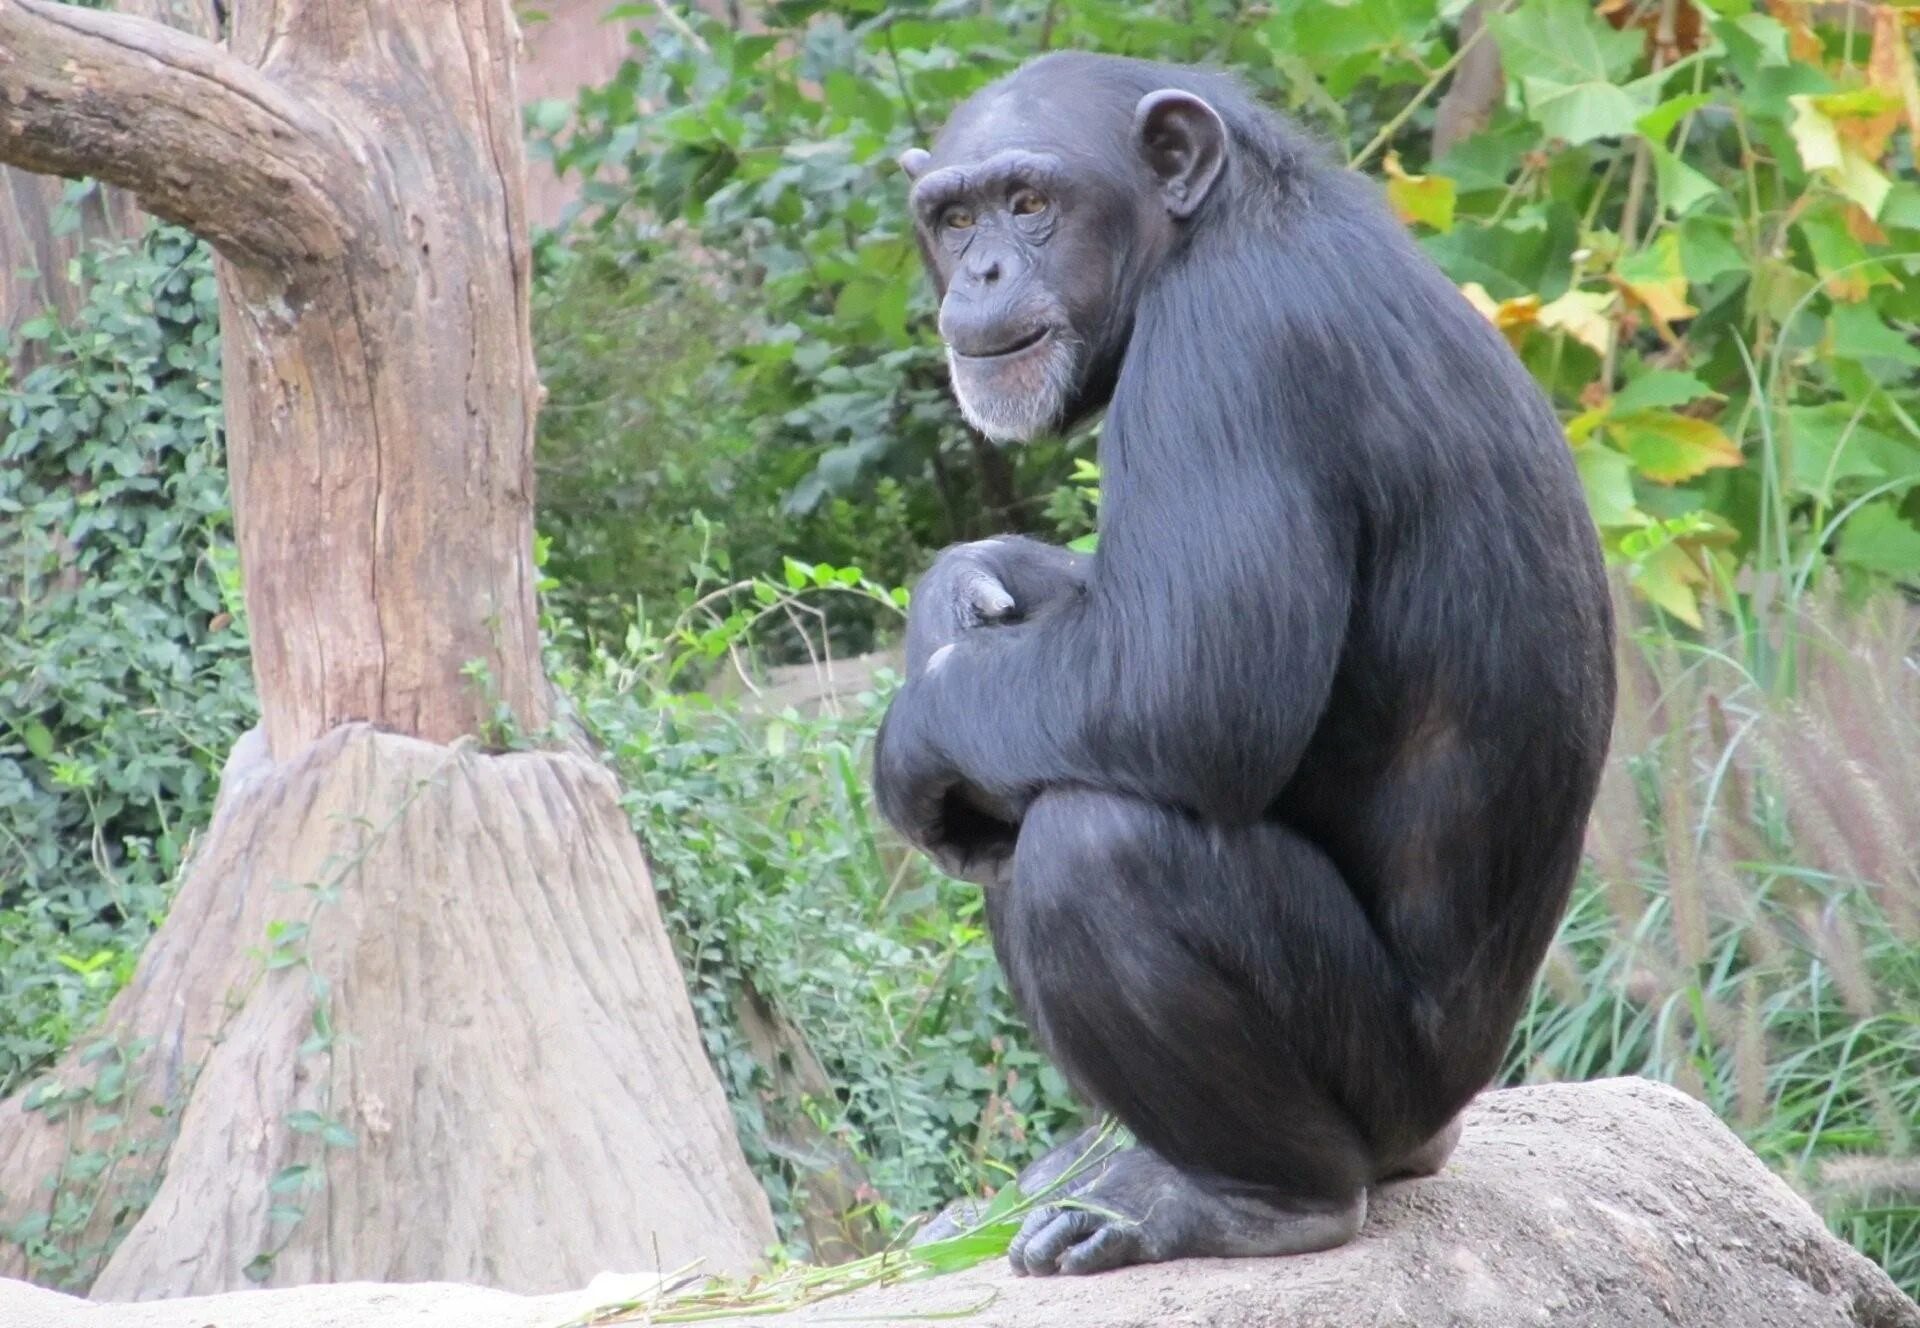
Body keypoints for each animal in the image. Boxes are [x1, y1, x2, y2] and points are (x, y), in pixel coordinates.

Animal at [875, 54, 1620, 1274]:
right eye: (953, 217)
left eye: (1030, 204)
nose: (981, 267)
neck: (1207, 231)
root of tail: (1451, 1120)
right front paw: (958, 585)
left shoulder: (1236, 346)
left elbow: (1186, 682)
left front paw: (905, 738)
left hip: (1387, 1081)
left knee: (1094, 838)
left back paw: (1241, 1200)